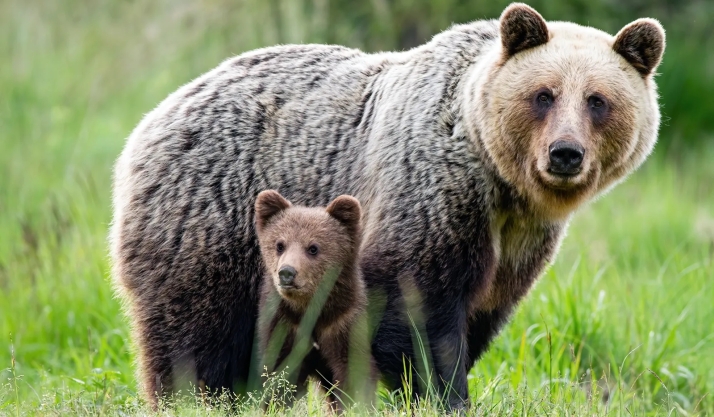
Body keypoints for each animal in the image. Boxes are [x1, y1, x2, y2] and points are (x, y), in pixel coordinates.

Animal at [254, 190, 376, 410]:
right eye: (280, 245)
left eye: (313, 248)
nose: (287, 273)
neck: (311, 311)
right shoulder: (284, 325)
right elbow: (279, 373)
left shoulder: (342, 323)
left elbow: (353, 370)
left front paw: (355, 405)